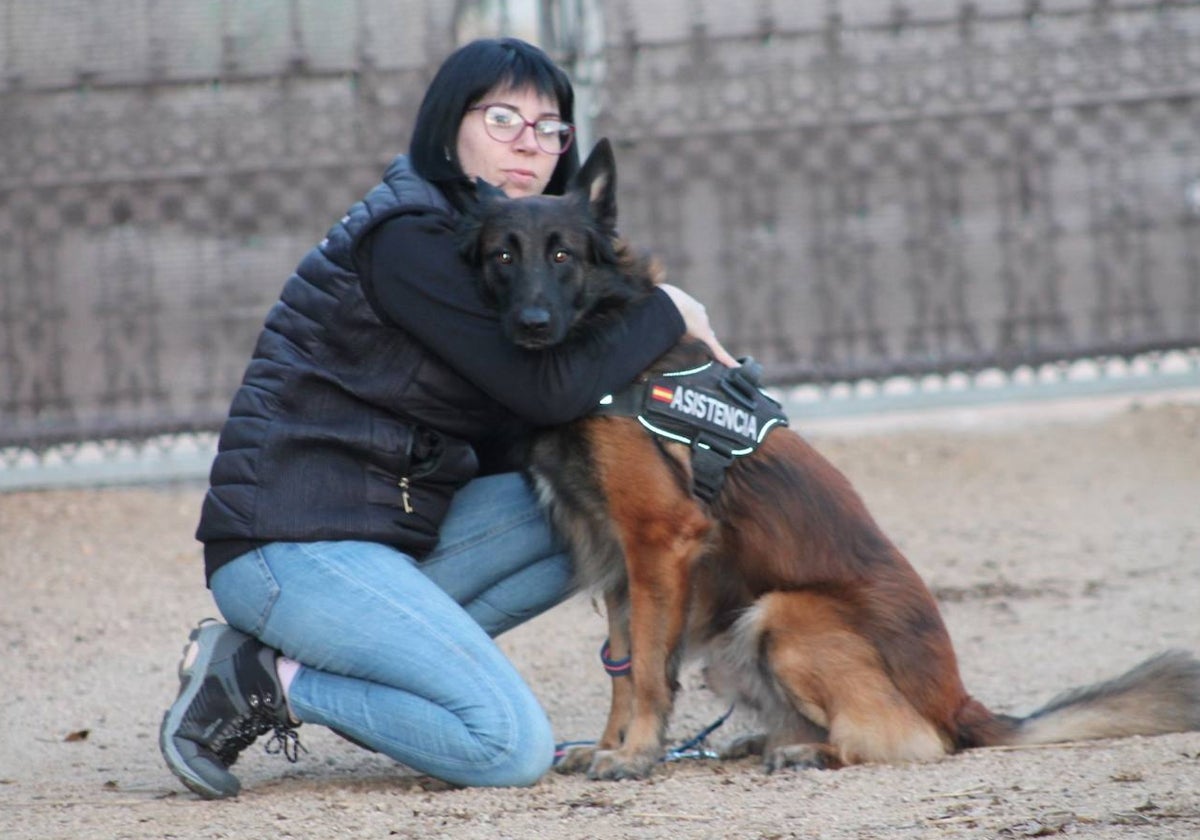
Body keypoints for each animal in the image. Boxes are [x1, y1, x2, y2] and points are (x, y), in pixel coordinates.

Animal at [456, 139, 1200, 782]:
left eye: (561, 255)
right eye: (502, 256)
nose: (529, 324)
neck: (608, 339)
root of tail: (959, 703)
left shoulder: (655, 541)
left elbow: (644, 670)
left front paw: (635, 753)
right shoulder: (617, 560)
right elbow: (623, 664)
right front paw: (613, 745)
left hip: (782, 615)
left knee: (909, 740)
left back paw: (808, 750)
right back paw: (772, 739)